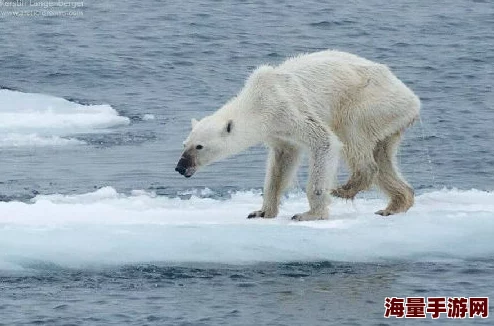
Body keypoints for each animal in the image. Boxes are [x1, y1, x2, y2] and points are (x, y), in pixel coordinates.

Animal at [176, 49, 418, 220]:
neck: (257, 101)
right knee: (383, 156)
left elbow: (324, 141)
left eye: (199, 146)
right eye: (184, 144)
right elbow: (281, 163)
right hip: (389, 119)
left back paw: (344, 188)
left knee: (352, 133)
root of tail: (412, 98)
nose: (180, 167)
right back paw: (394, 205)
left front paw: (309, 214)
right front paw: (261, 211)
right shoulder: (278, 132)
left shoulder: (288, 109)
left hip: (370, 102)